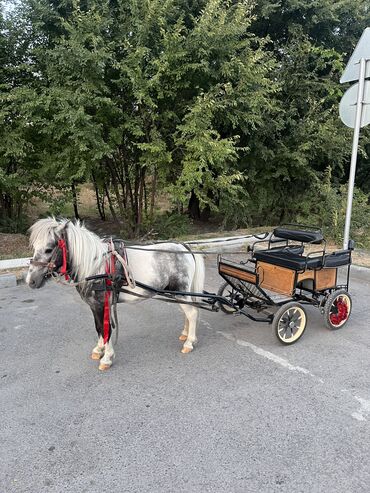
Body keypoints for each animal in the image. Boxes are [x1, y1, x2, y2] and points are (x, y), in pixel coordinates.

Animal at [26, 217, 205, 368]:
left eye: (49, 249)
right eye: (34, 247)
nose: (30, 281)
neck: (96, 265)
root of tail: (184, 247)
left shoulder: (100, 304)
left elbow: (105, 329)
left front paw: (107, 357)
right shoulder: (94, 305)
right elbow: (98, 327)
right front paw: (99, 350)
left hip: (180, 291)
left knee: (192, 313)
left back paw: (189, 342)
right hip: (177, 293)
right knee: (187, 311)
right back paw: (185, 334)